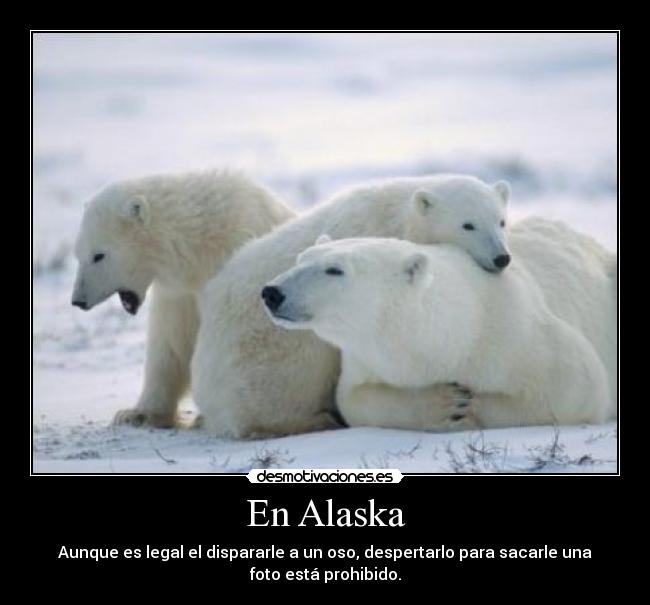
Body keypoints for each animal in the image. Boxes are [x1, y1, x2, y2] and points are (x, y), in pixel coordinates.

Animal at [71, 169, 295, 427]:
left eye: (99, 255)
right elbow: (171, 343)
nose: (78, 300)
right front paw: (135, 414)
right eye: (78, 254)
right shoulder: (179, 293)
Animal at [191, 174, 511, 437]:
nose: (501, 258)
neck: (399, 215)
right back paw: (316, 420)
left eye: (501, 221)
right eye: (468, 224)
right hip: (264, 357)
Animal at [263, 222, 617, 431]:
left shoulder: (518, 336)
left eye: (334, 270)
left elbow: (577, 386)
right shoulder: (367, 359)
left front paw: (470, 407)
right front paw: (446, 404)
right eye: (300, 259)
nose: (272, 292)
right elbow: (354, 399)